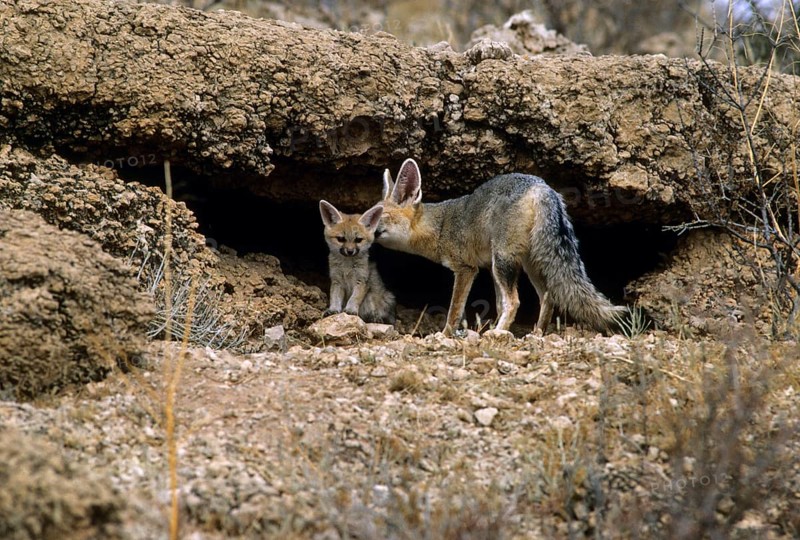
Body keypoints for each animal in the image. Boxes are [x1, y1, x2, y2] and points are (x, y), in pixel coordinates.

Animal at [375, 158, 626, 334]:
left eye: (379, 215)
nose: (365, 233)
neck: (441, 226)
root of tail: (541, 186)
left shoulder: (466, 269)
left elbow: (455, 311)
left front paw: (445, 335)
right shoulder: (488, 267)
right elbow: (498, 303)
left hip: (504, 261)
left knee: (515, 301)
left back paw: (498, 333)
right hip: (525, 264)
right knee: (547, 296)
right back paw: (536, 333)